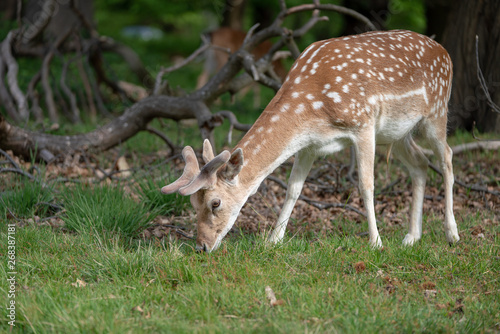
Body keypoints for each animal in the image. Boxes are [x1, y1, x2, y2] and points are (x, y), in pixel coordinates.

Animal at [162, 30, 458, 252]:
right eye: (193, 204)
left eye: (215, 203)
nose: (202, 246)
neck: (313, 105)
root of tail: (445, 52)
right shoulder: (310, 145)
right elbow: (293, 189)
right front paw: (274, 240)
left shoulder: (363, 123)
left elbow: (366, 185)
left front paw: (376, 242)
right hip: (395, 133)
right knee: (420, 163)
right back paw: (412, 237)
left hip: (436, 112)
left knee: (447, 157)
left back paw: (451, 233)